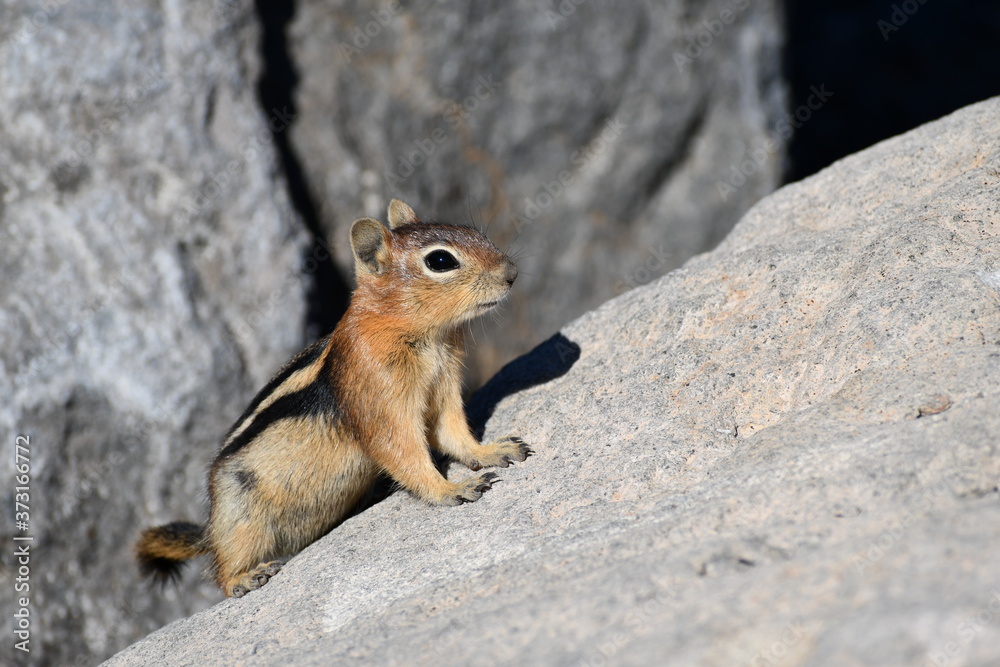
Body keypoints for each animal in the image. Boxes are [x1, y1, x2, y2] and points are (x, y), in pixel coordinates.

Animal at [139, 200, 532, 600]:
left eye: (476, 233)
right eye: (440, 261)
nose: (512, 273)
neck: (422, 335)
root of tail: (211, 528)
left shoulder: (444, 387)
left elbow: (454, 432)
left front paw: (491, 451)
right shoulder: (381, 398)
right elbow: (403, 453)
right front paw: (451, 488)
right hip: (241, 518)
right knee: (221, 571)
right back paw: (246, 578)